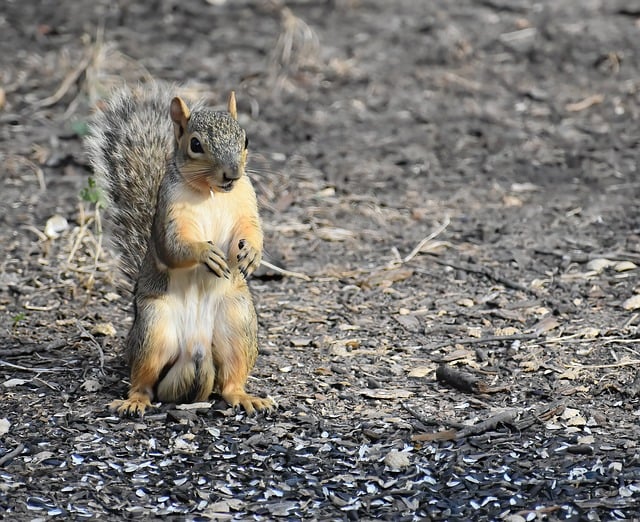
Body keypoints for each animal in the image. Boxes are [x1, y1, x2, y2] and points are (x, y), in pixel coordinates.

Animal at [85, 82, 272, 414]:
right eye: (195, 144)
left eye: (246, 139)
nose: (233, 174)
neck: (212, 193)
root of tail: (195, 347)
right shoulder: (169, 215)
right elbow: (174, 247)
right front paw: (205, 253)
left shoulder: (246, 203)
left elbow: (252, 230)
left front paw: (253, 253)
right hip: (153, 328)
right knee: (145, 381)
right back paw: (134, 400)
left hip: (238, 322)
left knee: (231, 381)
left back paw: (245, 396)